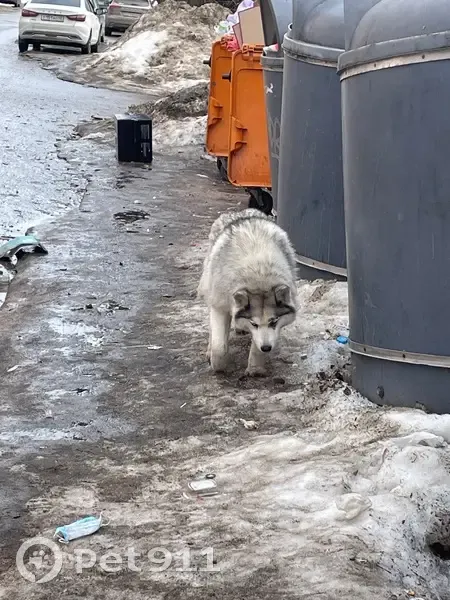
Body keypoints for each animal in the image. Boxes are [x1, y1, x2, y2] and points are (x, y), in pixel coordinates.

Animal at [197, 209, 298, 376]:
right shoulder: (220, 307)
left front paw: (255, 369)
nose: (267, 348)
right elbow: (219, 349)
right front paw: (217, 365)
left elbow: (257, 345)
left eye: (274, 322)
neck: (259, 274)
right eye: (253, 323)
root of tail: (239, 212)